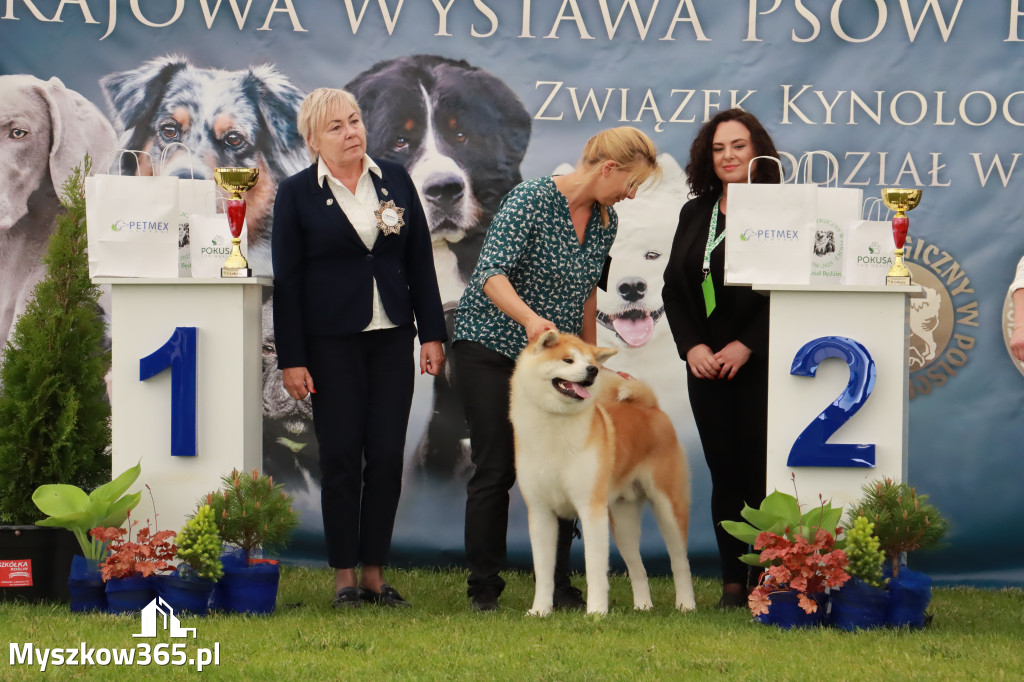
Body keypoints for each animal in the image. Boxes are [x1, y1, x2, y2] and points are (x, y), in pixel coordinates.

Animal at [512, 329, 696, 614]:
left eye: (590, 362)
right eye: (567, 360)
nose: (593, 370)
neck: (554, 428)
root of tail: (651, 408)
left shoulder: (591, 508)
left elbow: (595, 568)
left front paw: (596, 611)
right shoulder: (540, 511)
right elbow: (543, 571)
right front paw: (540, 610)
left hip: (669, 507)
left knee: (680, 562)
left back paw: (686, 604)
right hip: (622, 519)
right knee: (638, 567)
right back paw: (643, 605)